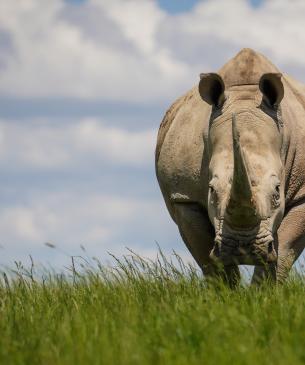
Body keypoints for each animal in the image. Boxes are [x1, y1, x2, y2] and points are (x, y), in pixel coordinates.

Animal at [156, 47, 304, 282]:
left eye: (277, 191)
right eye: (212, 191)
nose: (242, 249)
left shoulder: (302, 194)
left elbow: (283, 252)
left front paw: (264, 289)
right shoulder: (184, 198)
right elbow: (209, 260)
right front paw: (226, 290)